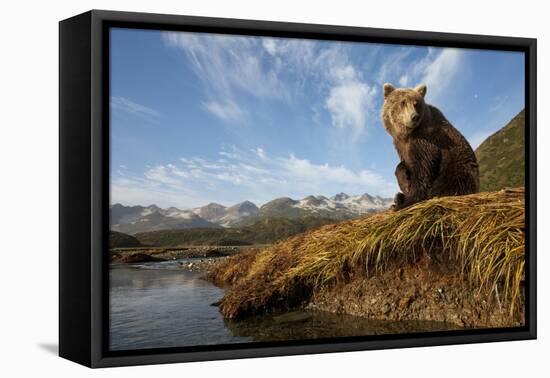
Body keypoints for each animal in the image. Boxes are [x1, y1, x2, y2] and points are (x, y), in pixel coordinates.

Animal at [382, 83, 480, 211]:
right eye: (403, 102)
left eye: (416, 103)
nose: (414, 117)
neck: (407, 134)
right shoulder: (400, 145)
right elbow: (404, 163)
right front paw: (404, 183)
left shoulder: (427, 139)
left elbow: (423, 166)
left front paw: (407, 201)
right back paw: (398, 197)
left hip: (457, 168)